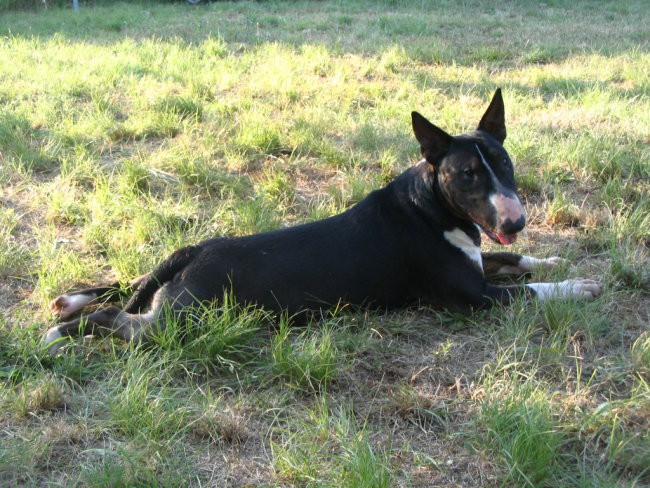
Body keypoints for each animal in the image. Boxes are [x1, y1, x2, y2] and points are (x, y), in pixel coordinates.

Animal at [44, 88, 596, 354]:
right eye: (466, 174)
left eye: (503, 161)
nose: (517, 219)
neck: (430, 206)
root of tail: (193, 252)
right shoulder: (471, 297)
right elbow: (532, 291)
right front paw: (580, 285)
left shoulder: (480, 259)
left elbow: (513, 258)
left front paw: (552, 256)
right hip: (186, 318)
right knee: (117, 318)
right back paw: (63, 334)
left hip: (168, 290)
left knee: (126, 283)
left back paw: (69, 305)